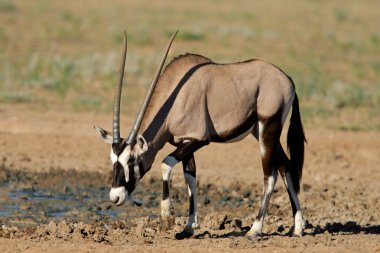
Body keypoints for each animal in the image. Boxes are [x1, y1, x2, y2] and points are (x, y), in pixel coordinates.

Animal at [94, 31, 306, 239]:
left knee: (269, 175)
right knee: (285, 165)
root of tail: (288, 80)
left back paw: (255, 230)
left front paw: (167, 217)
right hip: (259, 131)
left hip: (268, 128)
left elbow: (165, 163)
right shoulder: (184, 142)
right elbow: (190, 177)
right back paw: (297, 228)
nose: (115, 197)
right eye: (112, 159)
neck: (176, 95)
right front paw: (188, 228)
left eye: (131, 160)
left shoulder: (200, 139)